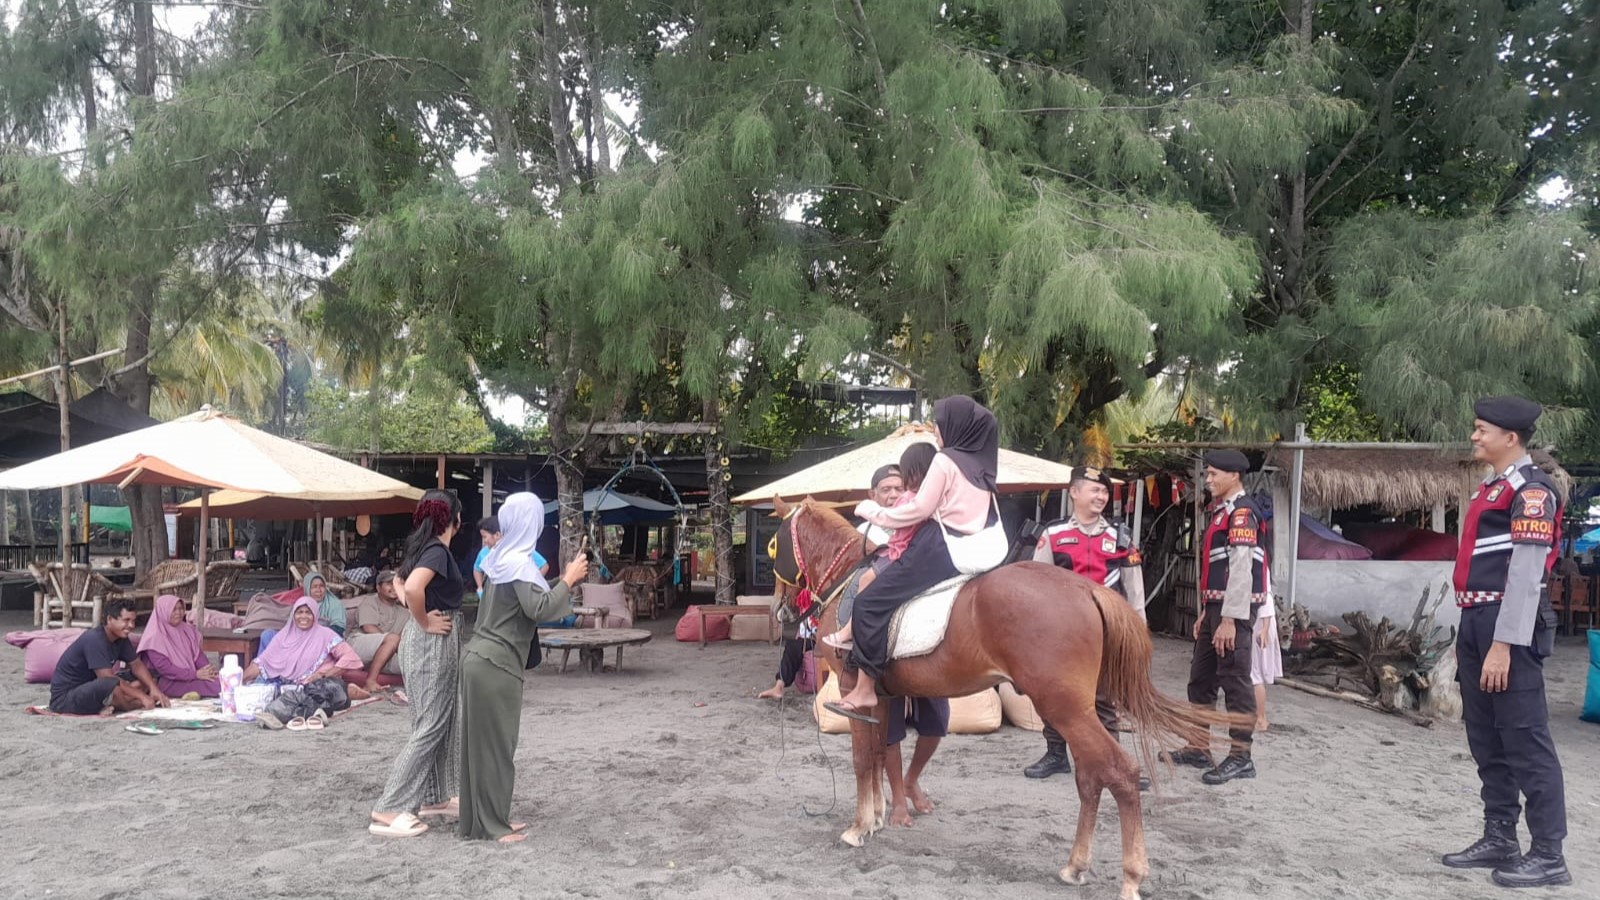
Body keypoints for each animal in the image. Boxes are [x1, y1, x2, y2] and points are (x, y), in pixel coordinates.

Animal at [774, 496, 1235, 896]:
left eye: (775, 543)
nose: (781, 611)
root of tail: (1087, 590)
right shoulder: (880, 699)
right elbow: (873, 757)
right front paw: (873, 820)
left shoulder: (851, 690)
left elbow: (858, 759)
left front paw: (857, 828)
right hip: (1078, 712)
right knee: (1091, 778)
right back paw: (1075, 865)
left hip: (1065, 709)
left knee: (1118, 773)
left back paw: (1130, 877)